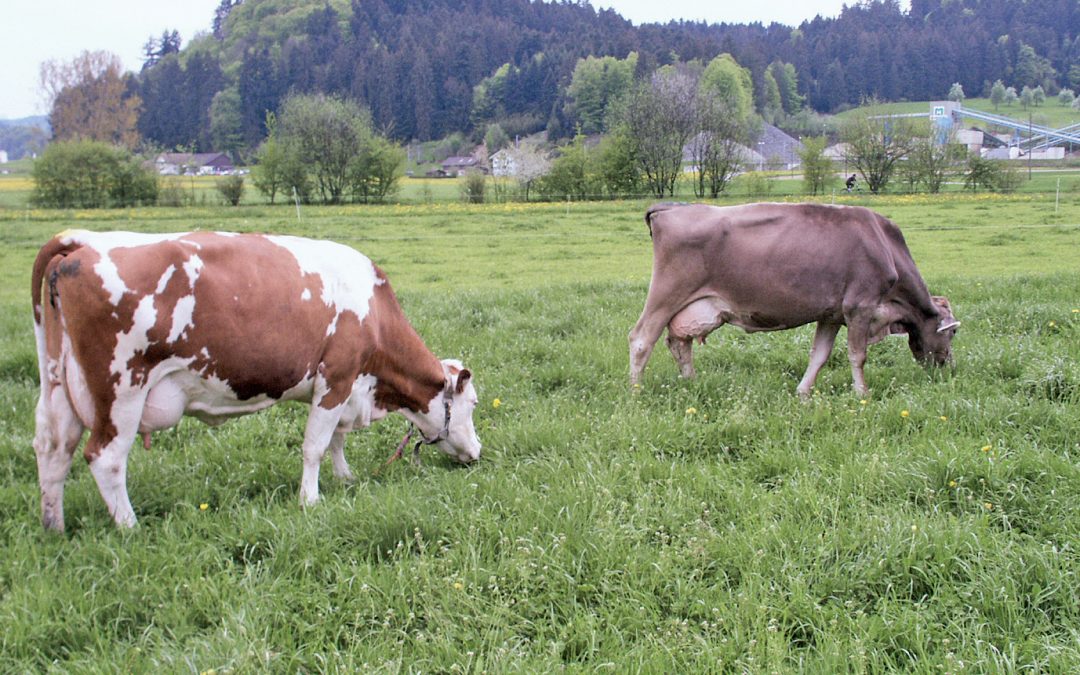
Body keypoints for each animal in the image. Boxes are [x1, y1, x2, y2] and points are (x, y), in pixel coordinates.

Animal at [31, 228, 479, 529]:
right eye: (472, 404)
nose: (477, 452)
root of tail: (82, 240)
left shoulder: (347, 385)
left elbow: (336, 438)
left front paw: (344, 477)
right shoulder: (337, 376)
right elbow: (315, 445)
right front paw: (310, 500)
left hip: (57, 385)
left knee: (52, 449)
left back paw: (54, 525)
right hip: (120, 389)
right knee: (105, 458)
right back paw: (129, 526)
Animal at [630, 203, 959, 397]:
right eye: (953, 333)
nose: (949, 366)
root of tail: (670, 207)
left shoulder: (831, 314)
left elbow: (820, 355)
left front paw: (803, 392)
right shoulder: (860, 307)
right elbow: (858, 355)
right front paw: (862, 394)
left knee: (678, 342)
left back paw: (691, 383)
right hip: (666, 293)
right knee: (641, 338)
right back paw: (636, 391)